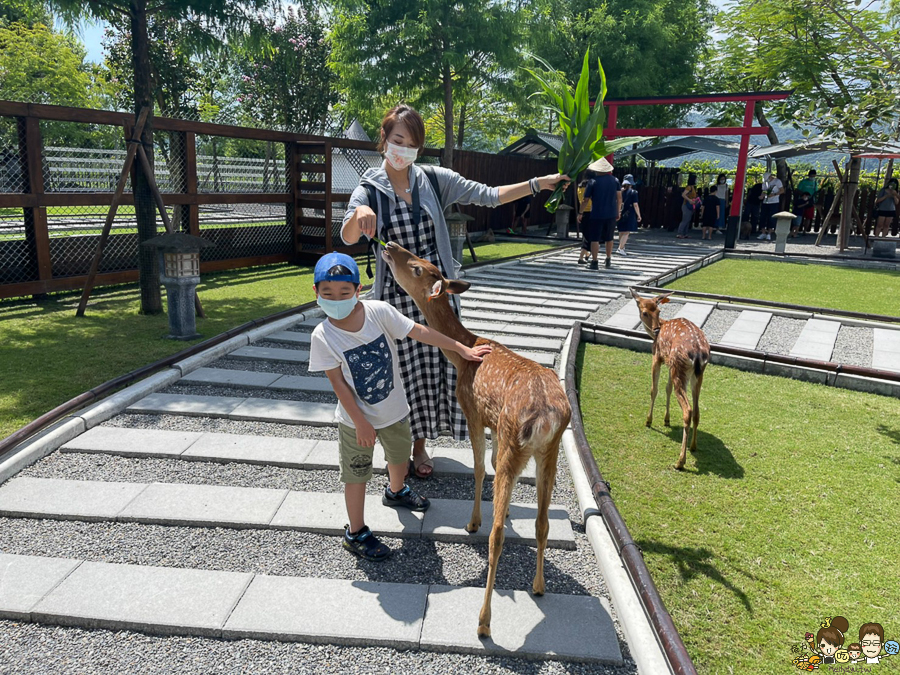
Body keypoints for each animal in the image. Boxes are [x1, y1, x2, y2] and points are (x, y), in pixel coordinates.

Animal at [382, 243, 568, 640]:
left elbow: (481, 468)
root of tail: (547, 418)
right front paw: (508, 509)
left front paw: (473, 521)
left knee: (497, 538)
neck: (463, 354)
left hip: (517, 440)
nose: (389, 246)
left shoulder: (472, 412)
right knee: (542, 522)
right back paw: (539, 586)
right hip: (549, 452)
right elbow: (495, 471)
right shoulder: (496, 424)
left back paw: (483, 622)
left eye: (419, 268)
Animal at [632, 290, 712, 470]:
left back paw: (680, 461)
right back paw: (693, 446)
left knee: (688, 410)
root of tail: (698, 354)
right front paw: (666, 419)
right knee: (697, 410)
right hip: (697, 375)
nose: (656, 330)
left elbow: (654, 389)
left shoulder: (657, 356)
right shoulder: (669, 363)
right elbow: (666, 388)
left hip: (680, 369)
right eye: (646, 312)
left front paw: (649, 420)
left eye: (658, 311)